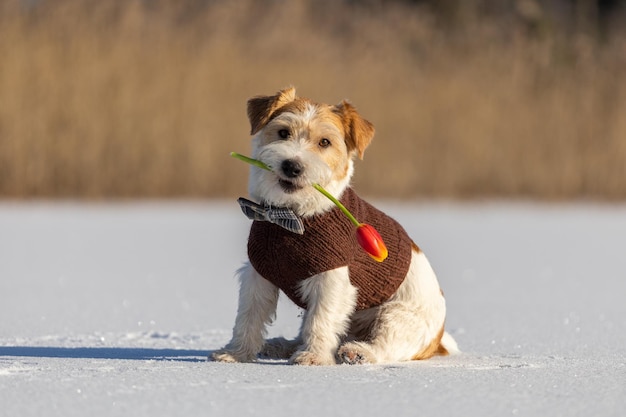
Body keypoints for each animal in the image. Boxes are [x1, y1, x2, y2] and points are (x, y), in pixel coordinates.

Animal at [212, 88, 456, 364]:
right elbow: (248, 317)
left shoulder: (331, 280)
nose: (292, 166)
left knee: (384, 347)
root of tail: (439, 340)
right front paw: (236, 353)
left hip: (396, 317)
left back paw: (358, 351)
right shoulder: (258, 273)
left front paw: (314, 356)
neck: (290, 215)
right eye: (283, 132)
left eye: (325, 142)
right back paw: (283, 345)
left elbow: (321, 320)